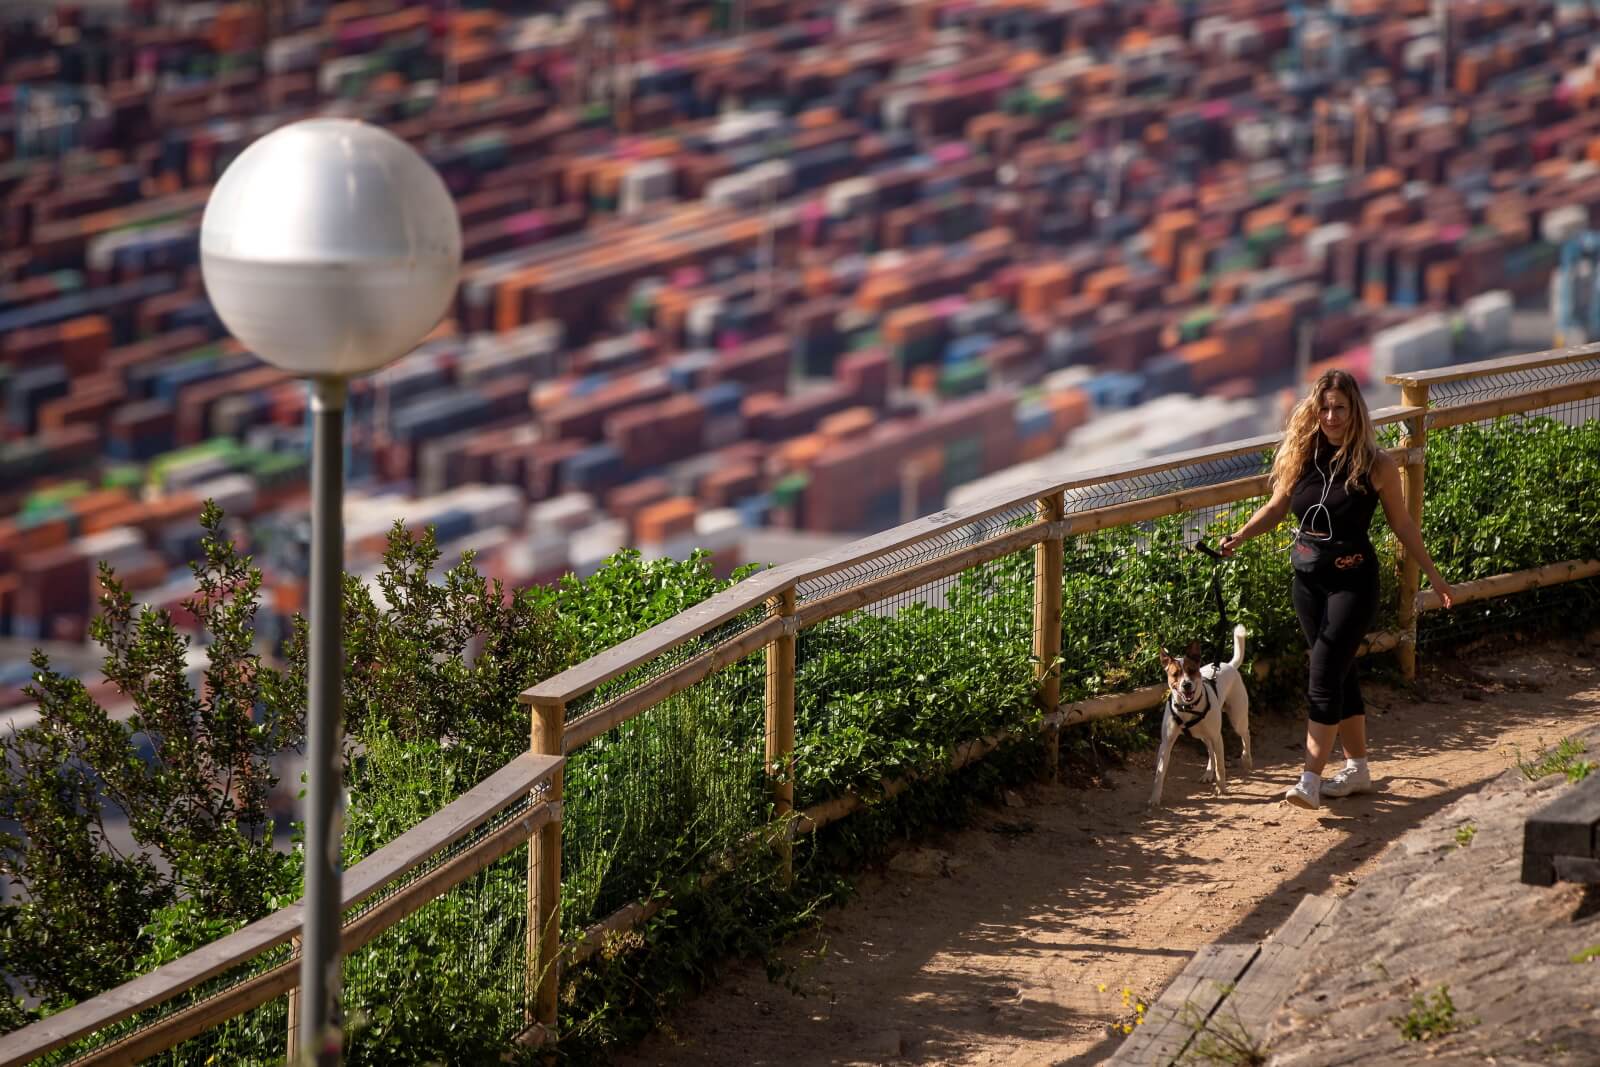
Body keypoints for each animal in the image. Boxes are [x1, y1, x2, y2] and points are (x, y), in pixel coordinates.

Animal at [1158, 627, 1254, 809]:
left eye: (1191, 670)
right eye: (1175, 674)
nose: (1186, 684)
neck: (1188, 708)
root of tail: (1229, 665)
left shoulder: (1218, 737)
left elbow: (1221, 767)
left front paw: (1221, 788)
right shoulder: (1166, 742)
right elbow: (1159, 772)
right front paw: (1154, 799)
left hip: (1236, 719)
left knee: (1245, 734)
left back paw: (1247, 759)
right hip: (1203, 734)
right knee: (1210, 749)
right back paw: (1209, 772)